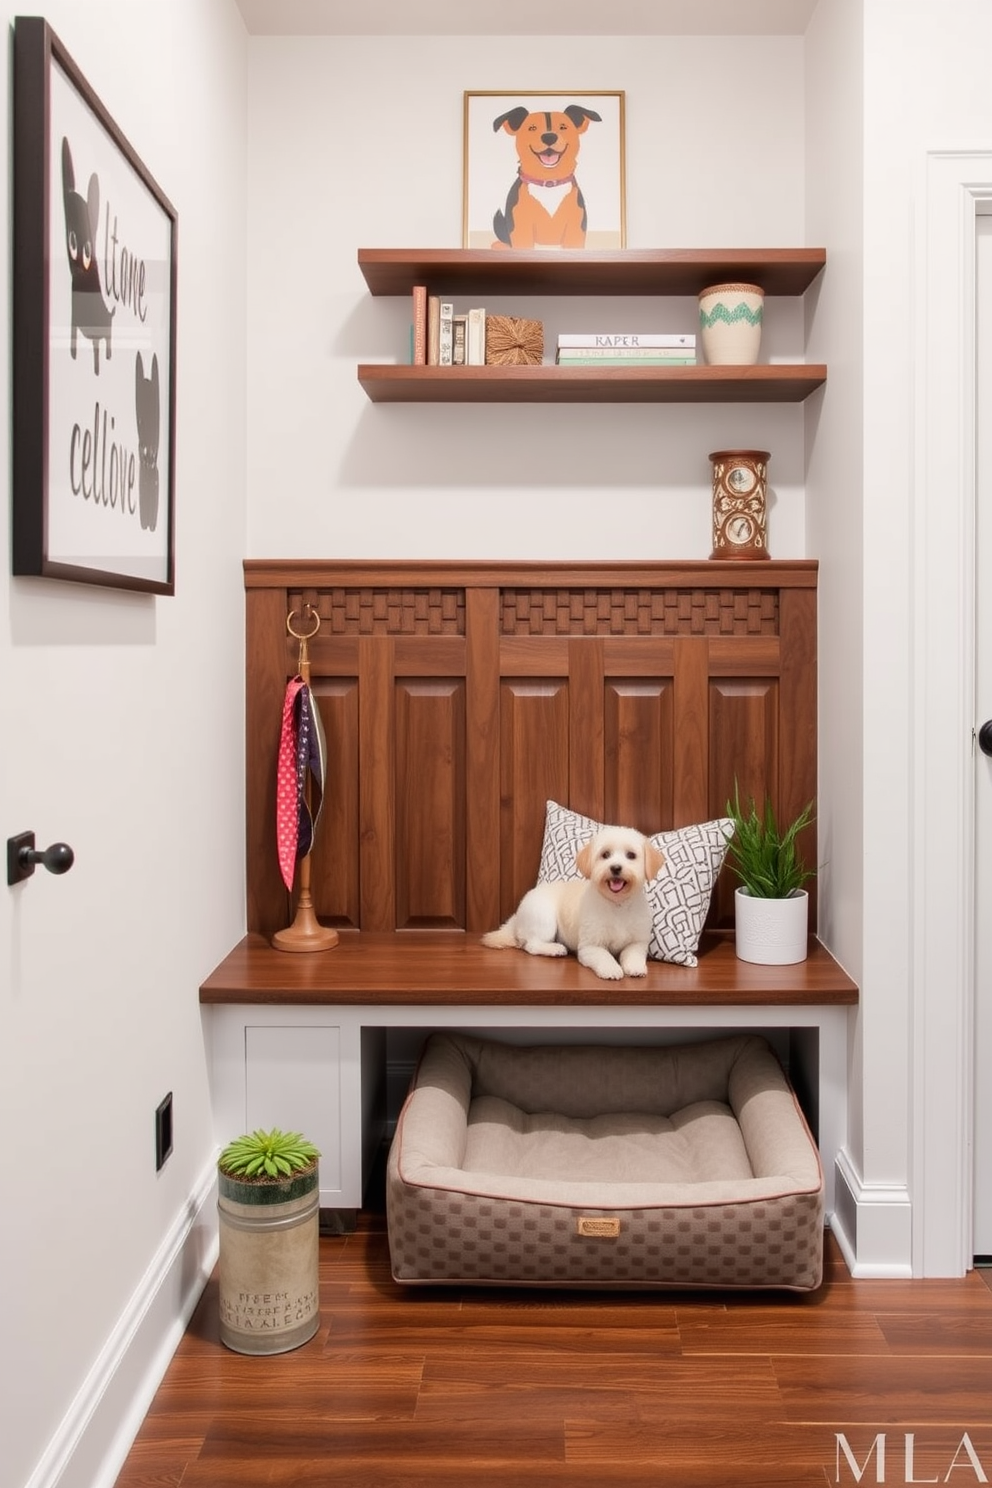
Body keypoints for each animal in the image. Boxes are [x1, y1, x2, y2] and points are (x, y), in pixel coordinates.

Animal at [481, 827, 666, 976]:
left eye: (631, 855)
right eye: (605, 855)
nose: (615, 868)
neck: (617, 905)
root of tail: (517, 916)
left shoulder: (637, 942)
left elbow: (634, 955)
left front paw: (635, 968)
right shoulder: (590, 946)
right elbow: (604, 957)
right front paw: (611, 969)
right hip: (544, 920)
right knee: (531, 945)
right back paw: (554, 949)